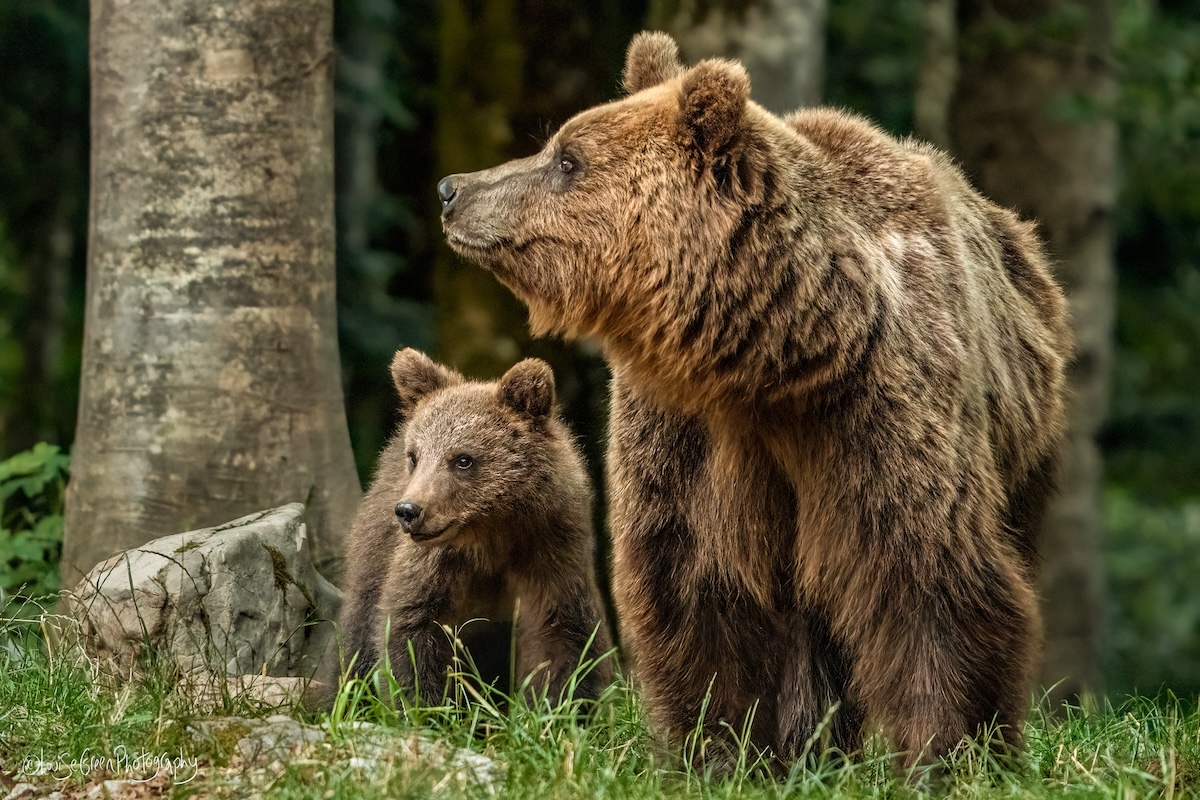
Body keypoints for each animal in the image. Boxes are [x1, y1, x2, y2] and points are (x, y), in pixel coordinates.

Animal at [332, 348, 613, 706]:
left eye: (463, 459)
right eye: (415, 456)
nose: (409, 511)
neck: (492, 533)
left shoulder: (550, 551)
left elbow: (563, 640)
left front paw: (555, 705)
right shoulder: (436, 565)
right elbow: (410, 631)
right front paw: (424, 704)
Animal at [436, 31, 1071, 769]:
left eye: (567, 159)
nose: (452, 189)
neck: (779, 361)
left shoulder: (880, 411)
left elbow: (928, 575)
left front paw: (948, 749)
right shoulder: (687, 435)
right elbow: (695, 585)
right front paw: (724, 747)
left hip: (1024, 444)